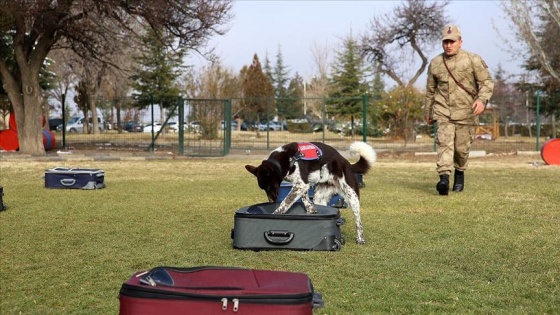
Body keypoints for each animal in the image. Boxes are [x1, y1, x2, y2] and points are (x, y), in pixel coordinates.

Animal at [245, 142, 376, 246]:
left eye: (268, 187)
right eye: (263, 189)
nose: (271, 201)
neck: (288, 160)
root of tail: (348, 164)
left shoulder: (301, 184)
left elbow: (285, 203)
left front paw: (275, 214)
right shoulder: (302, 186)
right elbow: (306, 200)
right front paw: (311, 211)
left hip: (352, 196)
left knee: (358, 221)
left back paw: (361, 239)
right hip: (320, 196)